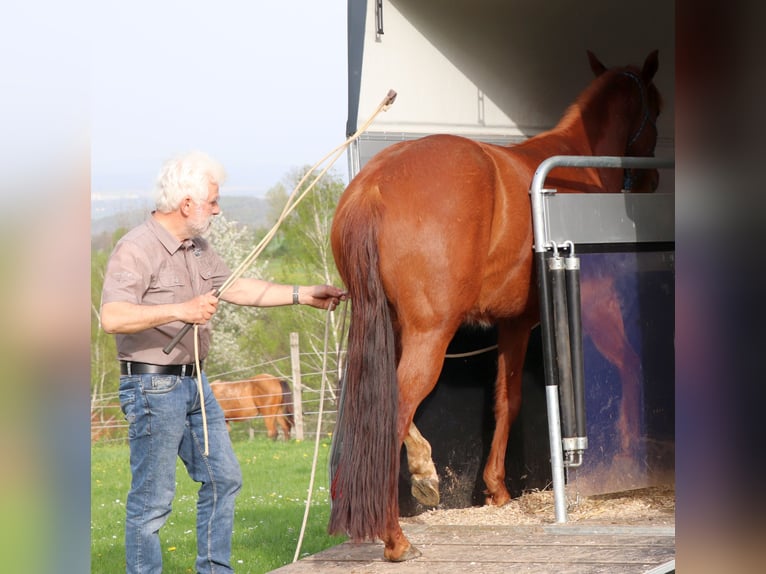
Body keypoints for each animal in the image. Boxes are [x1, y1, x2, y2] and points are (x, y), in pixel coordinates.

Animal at [328, 50, 663, 561]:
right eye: (658, 110)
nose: (653, 179)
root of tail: (376, 184)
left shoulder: (511, 324)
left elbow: (504, 398)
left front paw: (496, 490)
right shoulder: (576, 309)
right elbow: (622, 364)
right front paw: (626, 448)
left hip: (389, 331)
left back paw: (421, 475)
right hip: (431, 333)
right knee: (398, 407)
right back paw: (396, 536)